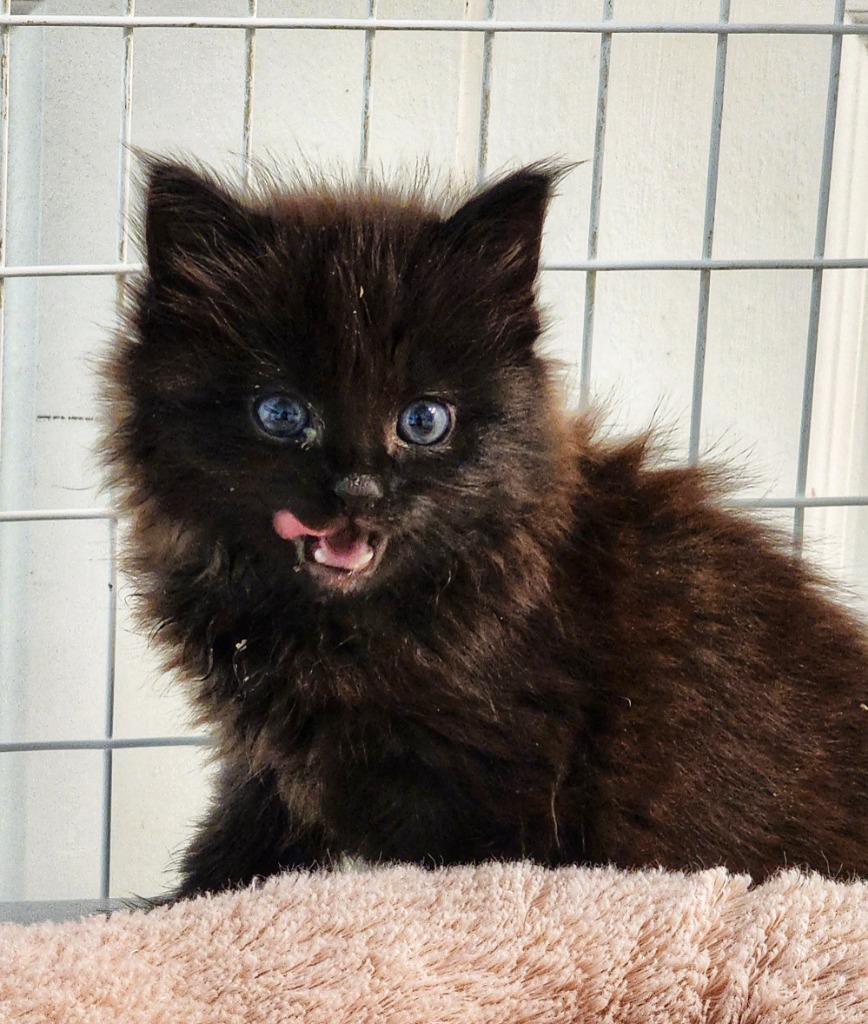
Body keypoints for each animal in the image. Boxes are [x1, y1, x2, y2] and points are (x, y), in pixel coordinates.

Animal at [103, 155, 868, 901]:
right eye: (282, 414)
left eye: (423, 421)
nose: (359, 489)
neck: (341, 630)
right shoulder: (272, 761)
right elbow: (240, 842)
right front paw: (179, 905)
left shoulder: (496, 785)